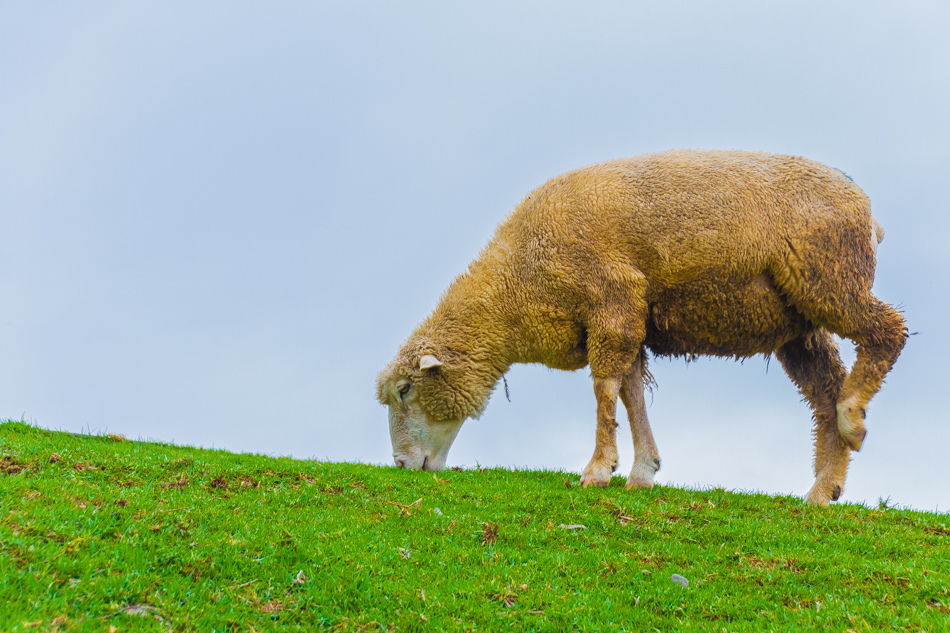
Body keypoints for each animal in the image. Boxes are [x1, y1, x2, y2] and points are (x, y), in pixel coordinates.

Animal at [378, 148, 908, 504]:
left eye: (405, 390)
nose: (401, 466)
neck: (517, 287)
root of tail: (867, 211)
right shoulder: (630, 319)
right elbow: (632, 395)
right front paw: (643, 469)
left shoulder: (613, 301)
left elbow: (604, 390)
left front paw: (598, 469)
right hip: (799, 320)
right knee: (824, 390)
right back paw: (823, 487)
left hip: (831, 277)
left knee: (887, 332)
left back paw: (853, 417)